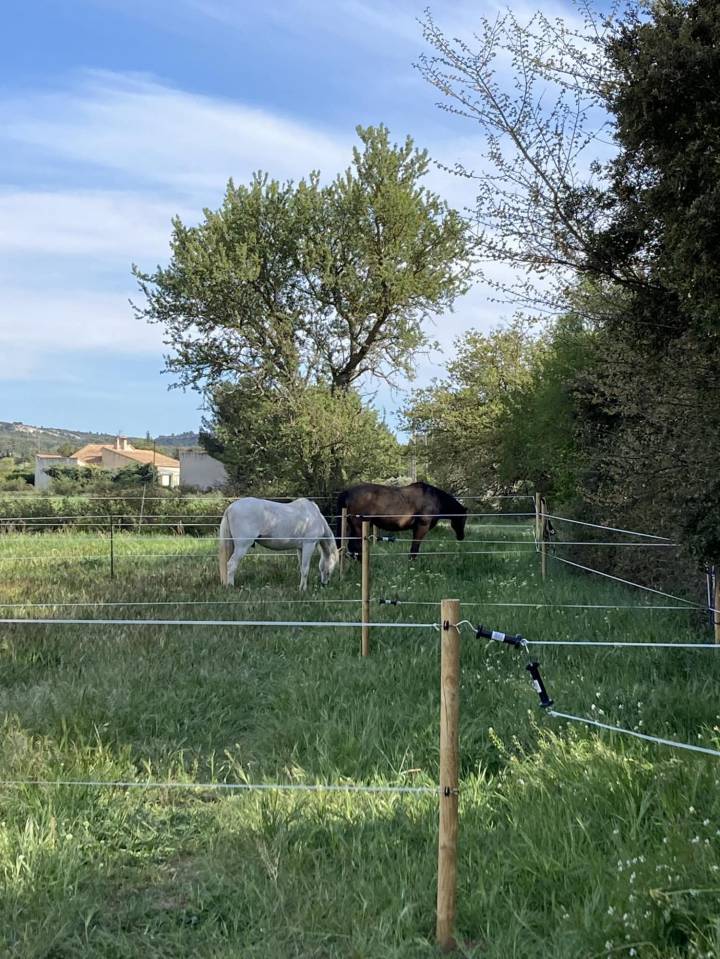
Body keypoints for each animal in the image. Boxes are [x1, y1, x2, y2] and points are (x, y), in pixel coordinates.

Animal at [336, 481, 467, 559]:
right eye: (463, 519)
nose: (461, 537)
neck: (434, 499)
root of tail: (347, 492)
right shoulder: (422, 527)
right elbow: (415, 548)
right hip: (358, 527)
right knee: (356, 547)